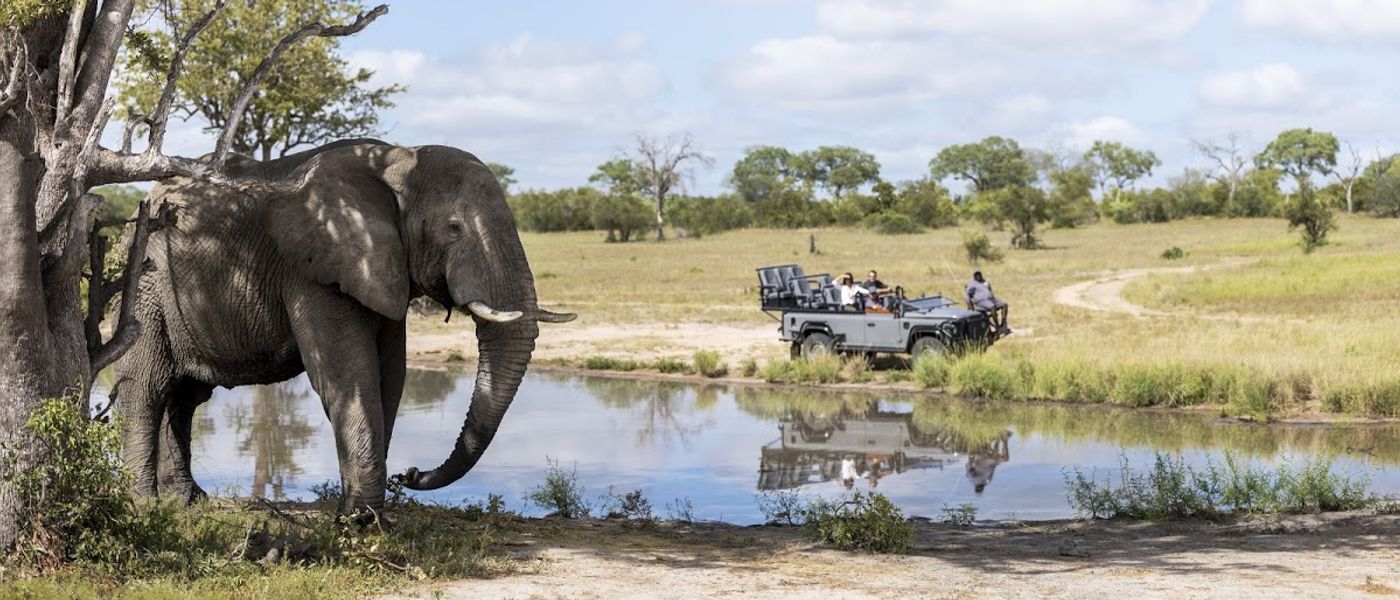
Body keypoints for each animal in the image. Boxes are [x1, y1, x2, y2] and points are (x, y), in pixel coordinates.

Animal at [111, 138, 574, 514]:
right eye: (454, 228)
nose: (410, 474)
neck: (399, 160)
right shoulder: (314, 268)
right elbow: (347, 375)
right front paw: (359, 522)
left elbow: (391, 378)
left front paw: (367, 516)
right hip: (145, 285)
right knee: (147, 387)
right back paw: (144, 505)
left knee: (184, 396)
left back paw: (188, 501)